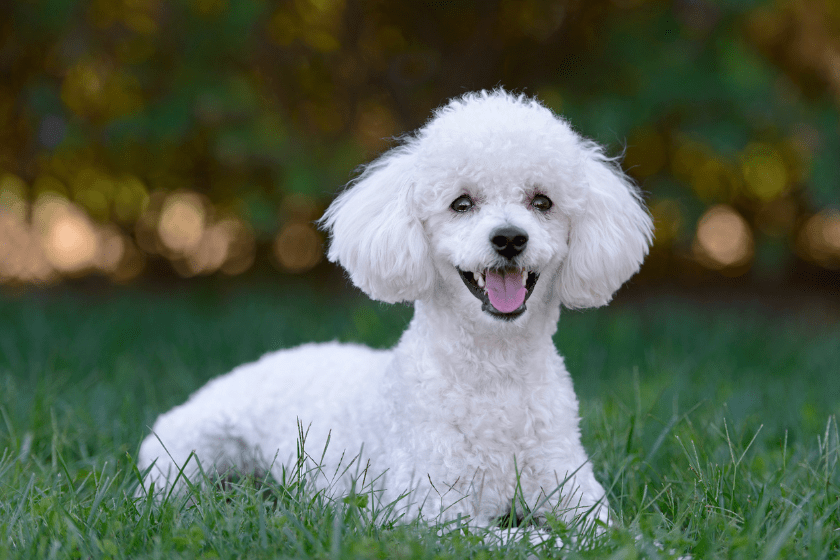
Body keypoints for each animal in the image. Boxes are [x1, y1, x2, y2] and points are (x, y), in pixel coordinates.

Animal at [138, 89, 652, 532]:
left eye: (542, 201)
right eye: (462, 203)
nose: (509, 238)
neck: (495, 374)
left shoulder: (574, 492)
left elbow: (615, 536)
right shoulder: (435, 516)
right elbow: (532, 542)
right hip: (190, 451)